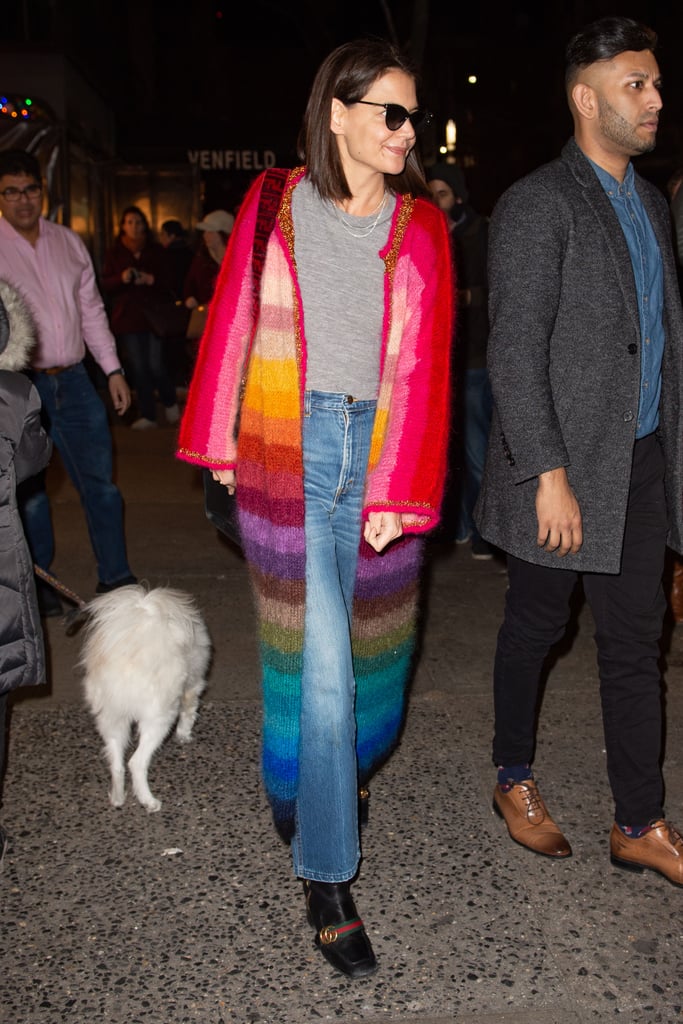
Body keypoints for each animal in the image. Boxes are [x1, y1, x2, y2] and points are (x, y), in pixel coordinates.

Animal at [79, 589, 210, 811]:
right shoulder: (193, 688)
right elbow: (189, 714)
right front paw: (184, 735)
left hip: (111, 719)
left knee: (117, 764)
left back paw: (117, 798)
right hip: (158, 719)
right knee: (136, 763)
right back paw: (149, 801)